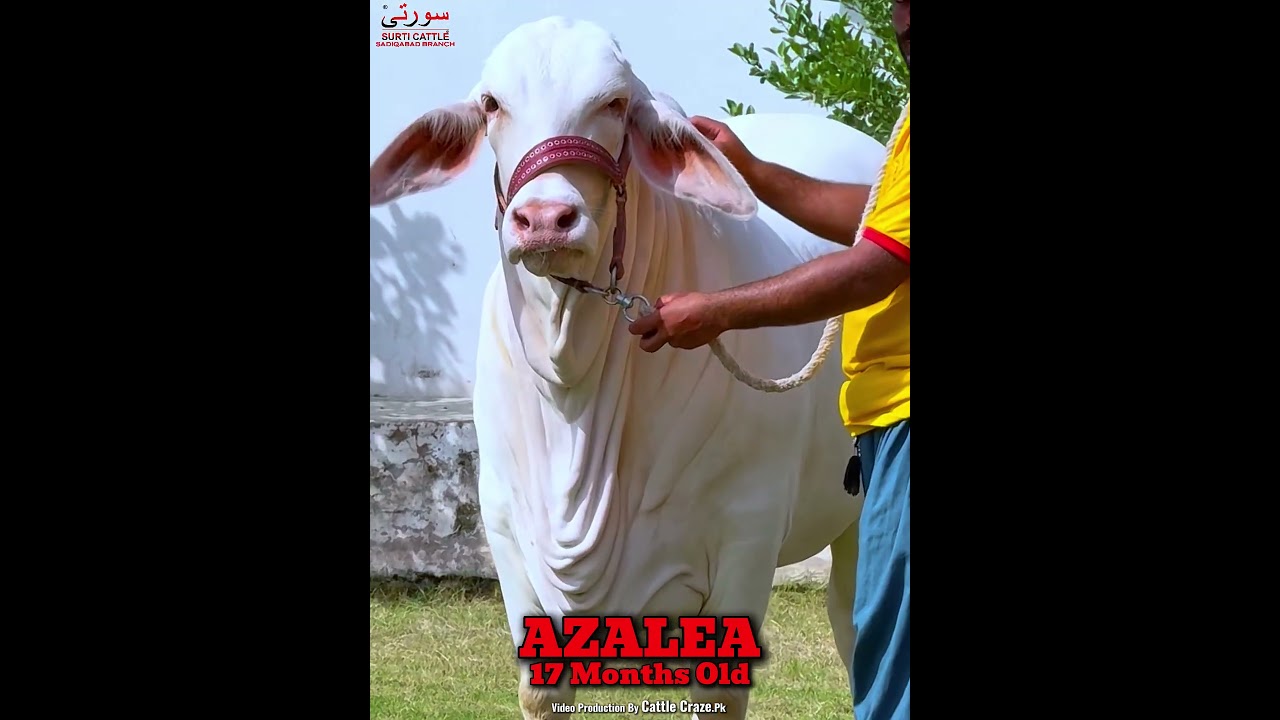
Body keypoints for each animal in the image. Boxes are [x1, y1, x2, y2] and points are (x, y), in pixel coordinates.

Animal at [369, 16, 890, 720]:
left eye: (614, 104)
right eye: (491, 104)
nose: (544, 219)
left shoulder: (747, 539)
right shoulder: (506, 536)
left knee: (852, 621)